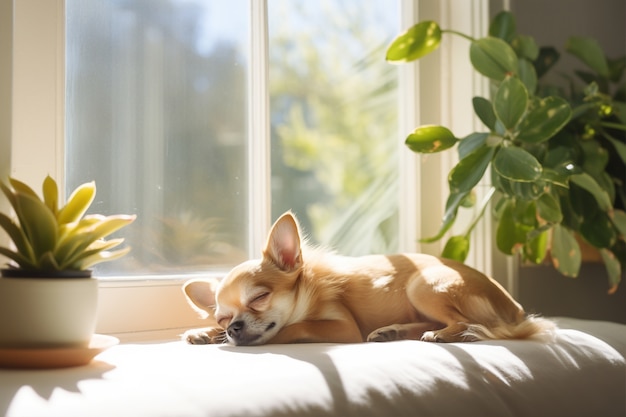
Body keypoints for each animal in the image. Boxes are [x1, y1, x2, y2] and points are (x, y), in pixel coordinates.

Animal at [183, 211, 552, 344]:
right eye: (223, 317)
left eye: (259, 297)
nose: (232, 327)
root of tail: (516, 309)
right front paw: (207, 334)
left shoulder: (343, 327)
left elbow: (294, 327)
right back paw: (394, 331)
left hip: (423, 285)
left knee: (464, 322)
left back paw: (441, 334)